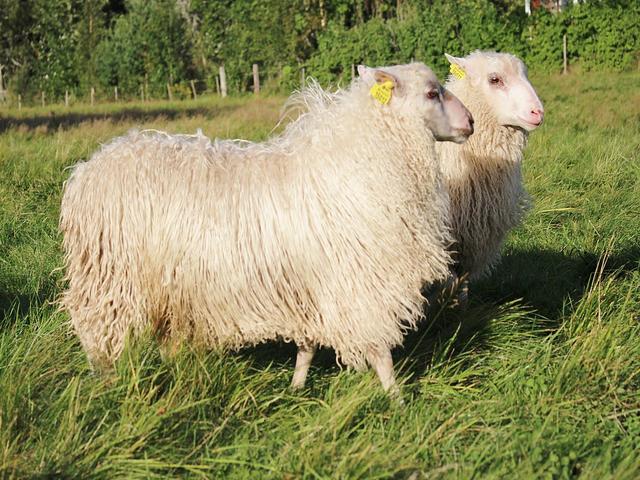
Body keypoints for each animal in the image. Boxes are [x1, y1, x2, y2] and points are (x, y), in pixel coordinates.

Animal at [59, 62, 474, 393]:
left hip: (164, 286)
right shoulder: (358, 285)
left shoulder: (309, 286)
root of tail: (86, 171)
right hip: (110, 282)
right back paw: (110, 386)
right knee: (98, 334)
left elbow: (307, 346)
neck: (364, 159)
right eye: (432, 92)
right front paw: (396, 399)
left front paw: (296, 387)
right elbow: (380, 351)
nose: (470, 121)